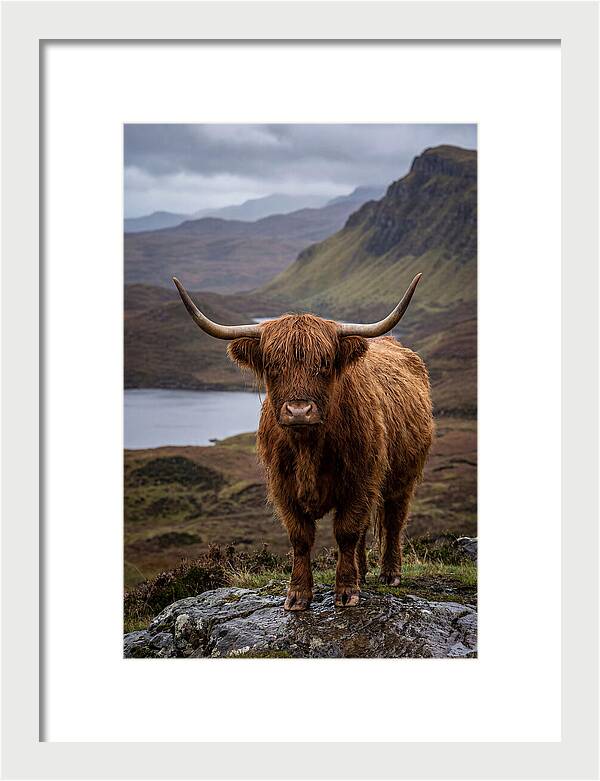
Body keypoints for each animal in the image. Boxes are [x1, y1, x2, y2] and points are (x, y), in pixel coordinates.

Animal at [173, 275, 434, 611]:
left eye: (324, 363)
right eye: (272, 365)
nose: (299, 411)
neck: (308, 447)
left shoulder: (360, 481)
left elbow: (346, 531)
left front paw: (346, 591)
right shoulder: (283, 487)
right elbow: (301, 537)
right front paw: (298, 595)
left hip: (403, 477)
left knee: (393, 520)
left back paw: (390, 574)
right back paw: (363, 573)